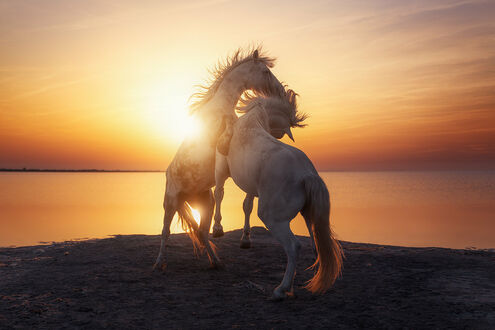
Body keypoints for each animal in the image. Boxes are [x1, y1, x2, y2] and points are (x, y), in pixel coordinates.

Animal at [155, 47, 286, 270]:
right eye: (265, 71)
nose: (279, 90)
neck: (220, 108)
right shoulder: (222, 141)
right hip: (170, 202)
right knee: (166, 232)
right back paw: (159, 263)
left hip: (204, 204)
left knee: (201, 232)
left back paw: (216, 262)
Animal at [215, 89, 342, 300]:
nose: (284, 134)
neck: (251, 120)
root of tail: (307, 174)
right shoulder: (252, 186)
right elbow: (246, 205)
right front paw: (245, 238)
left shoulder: (221, 168)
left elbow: (219, 193)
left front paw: (217, 228)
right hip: (307, 212)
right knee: (314, 235)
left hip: (273, 219)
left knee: (293, 246)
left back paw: (281, 289)